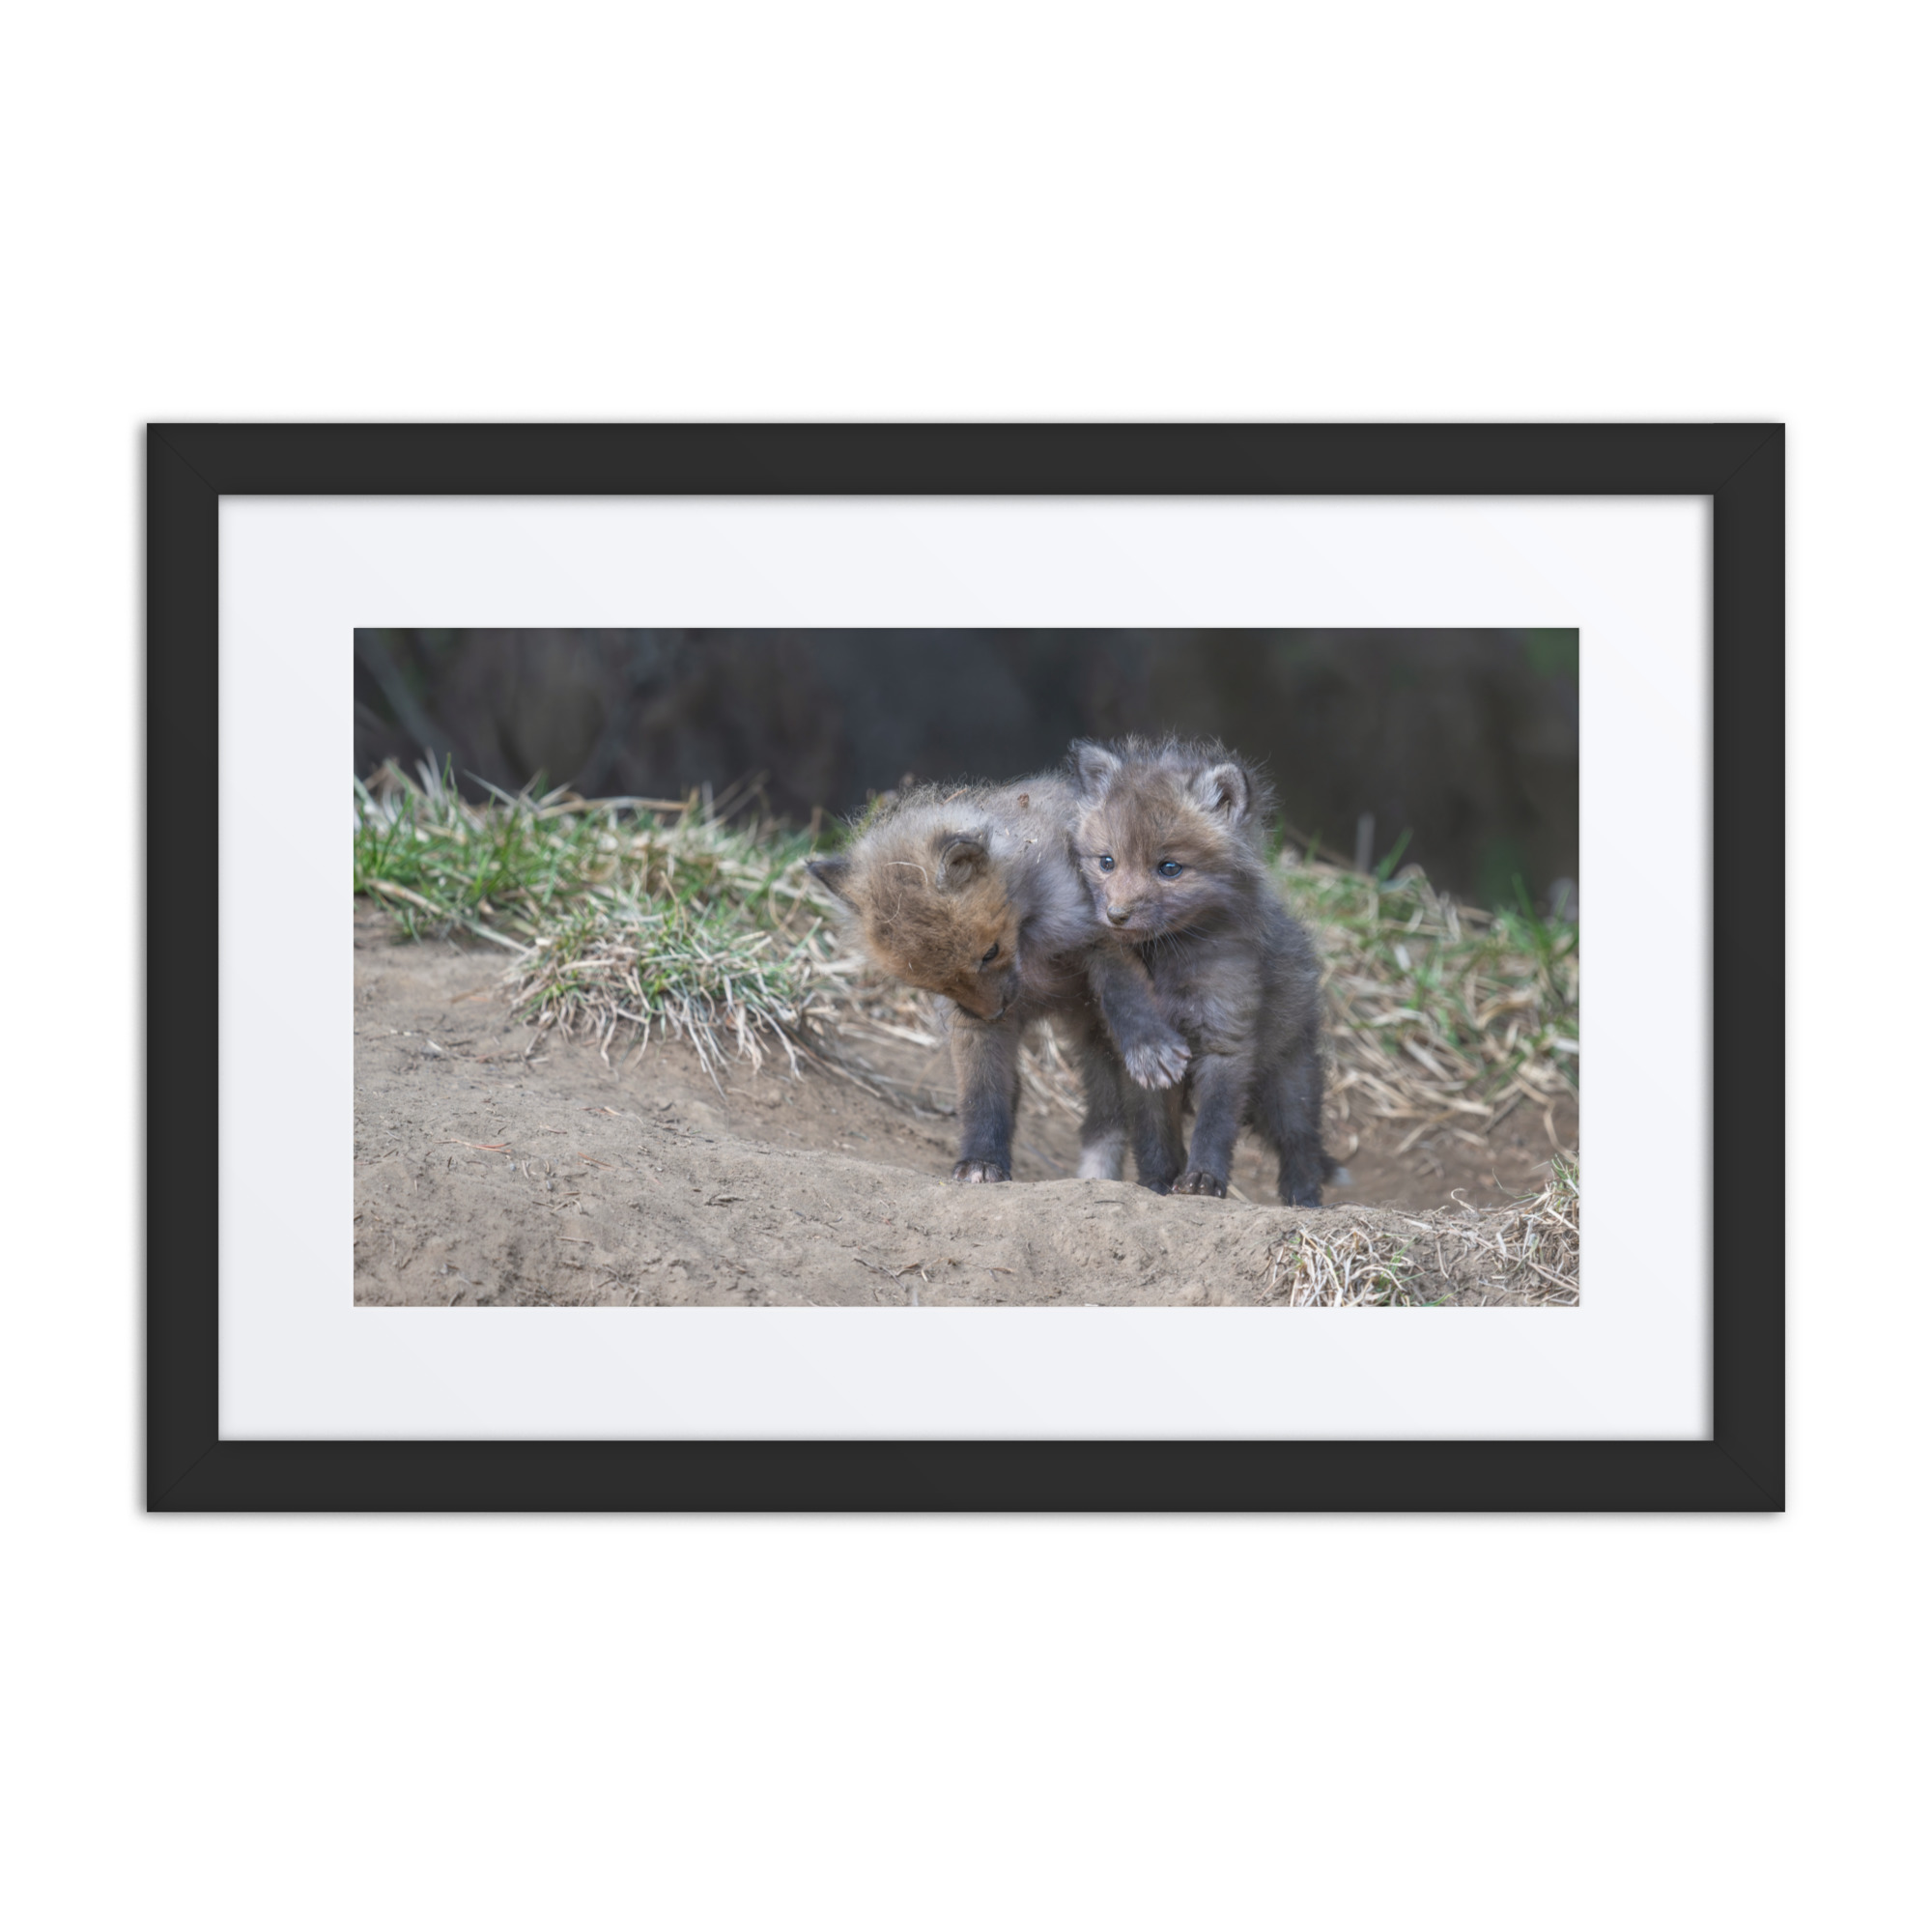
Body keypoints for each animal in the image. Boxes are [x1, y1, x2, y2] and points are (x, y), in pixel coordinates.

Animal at [807, 775, 1190, 1185]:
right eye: (934, 984)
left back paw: (1160, 1181)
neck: (1030, 946)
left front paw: (1149, 1046)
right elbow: (982, 1094)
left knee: (1148, 1120)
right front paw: (982, 1160)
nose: (994, 1013)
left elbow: (1125, 995)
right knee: (1103, 1117)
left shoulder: (1102, 935)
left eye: (989, 953)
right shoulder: (969, 1023)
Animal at [1068, 736, 1332, 1206]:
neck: (1168, 963)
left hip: (1288, 1083)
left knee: (1301, 1143)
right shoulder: (1143, 1060)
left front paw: (1203, 1180)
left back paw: (1304, 1201)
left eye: (1169, 868)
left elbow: (1215, 1124)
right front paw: (1157, 1183)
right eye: (1107, 862)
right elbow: (1154, 1132)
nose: (1115, 916)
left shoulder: (1226, 1038)